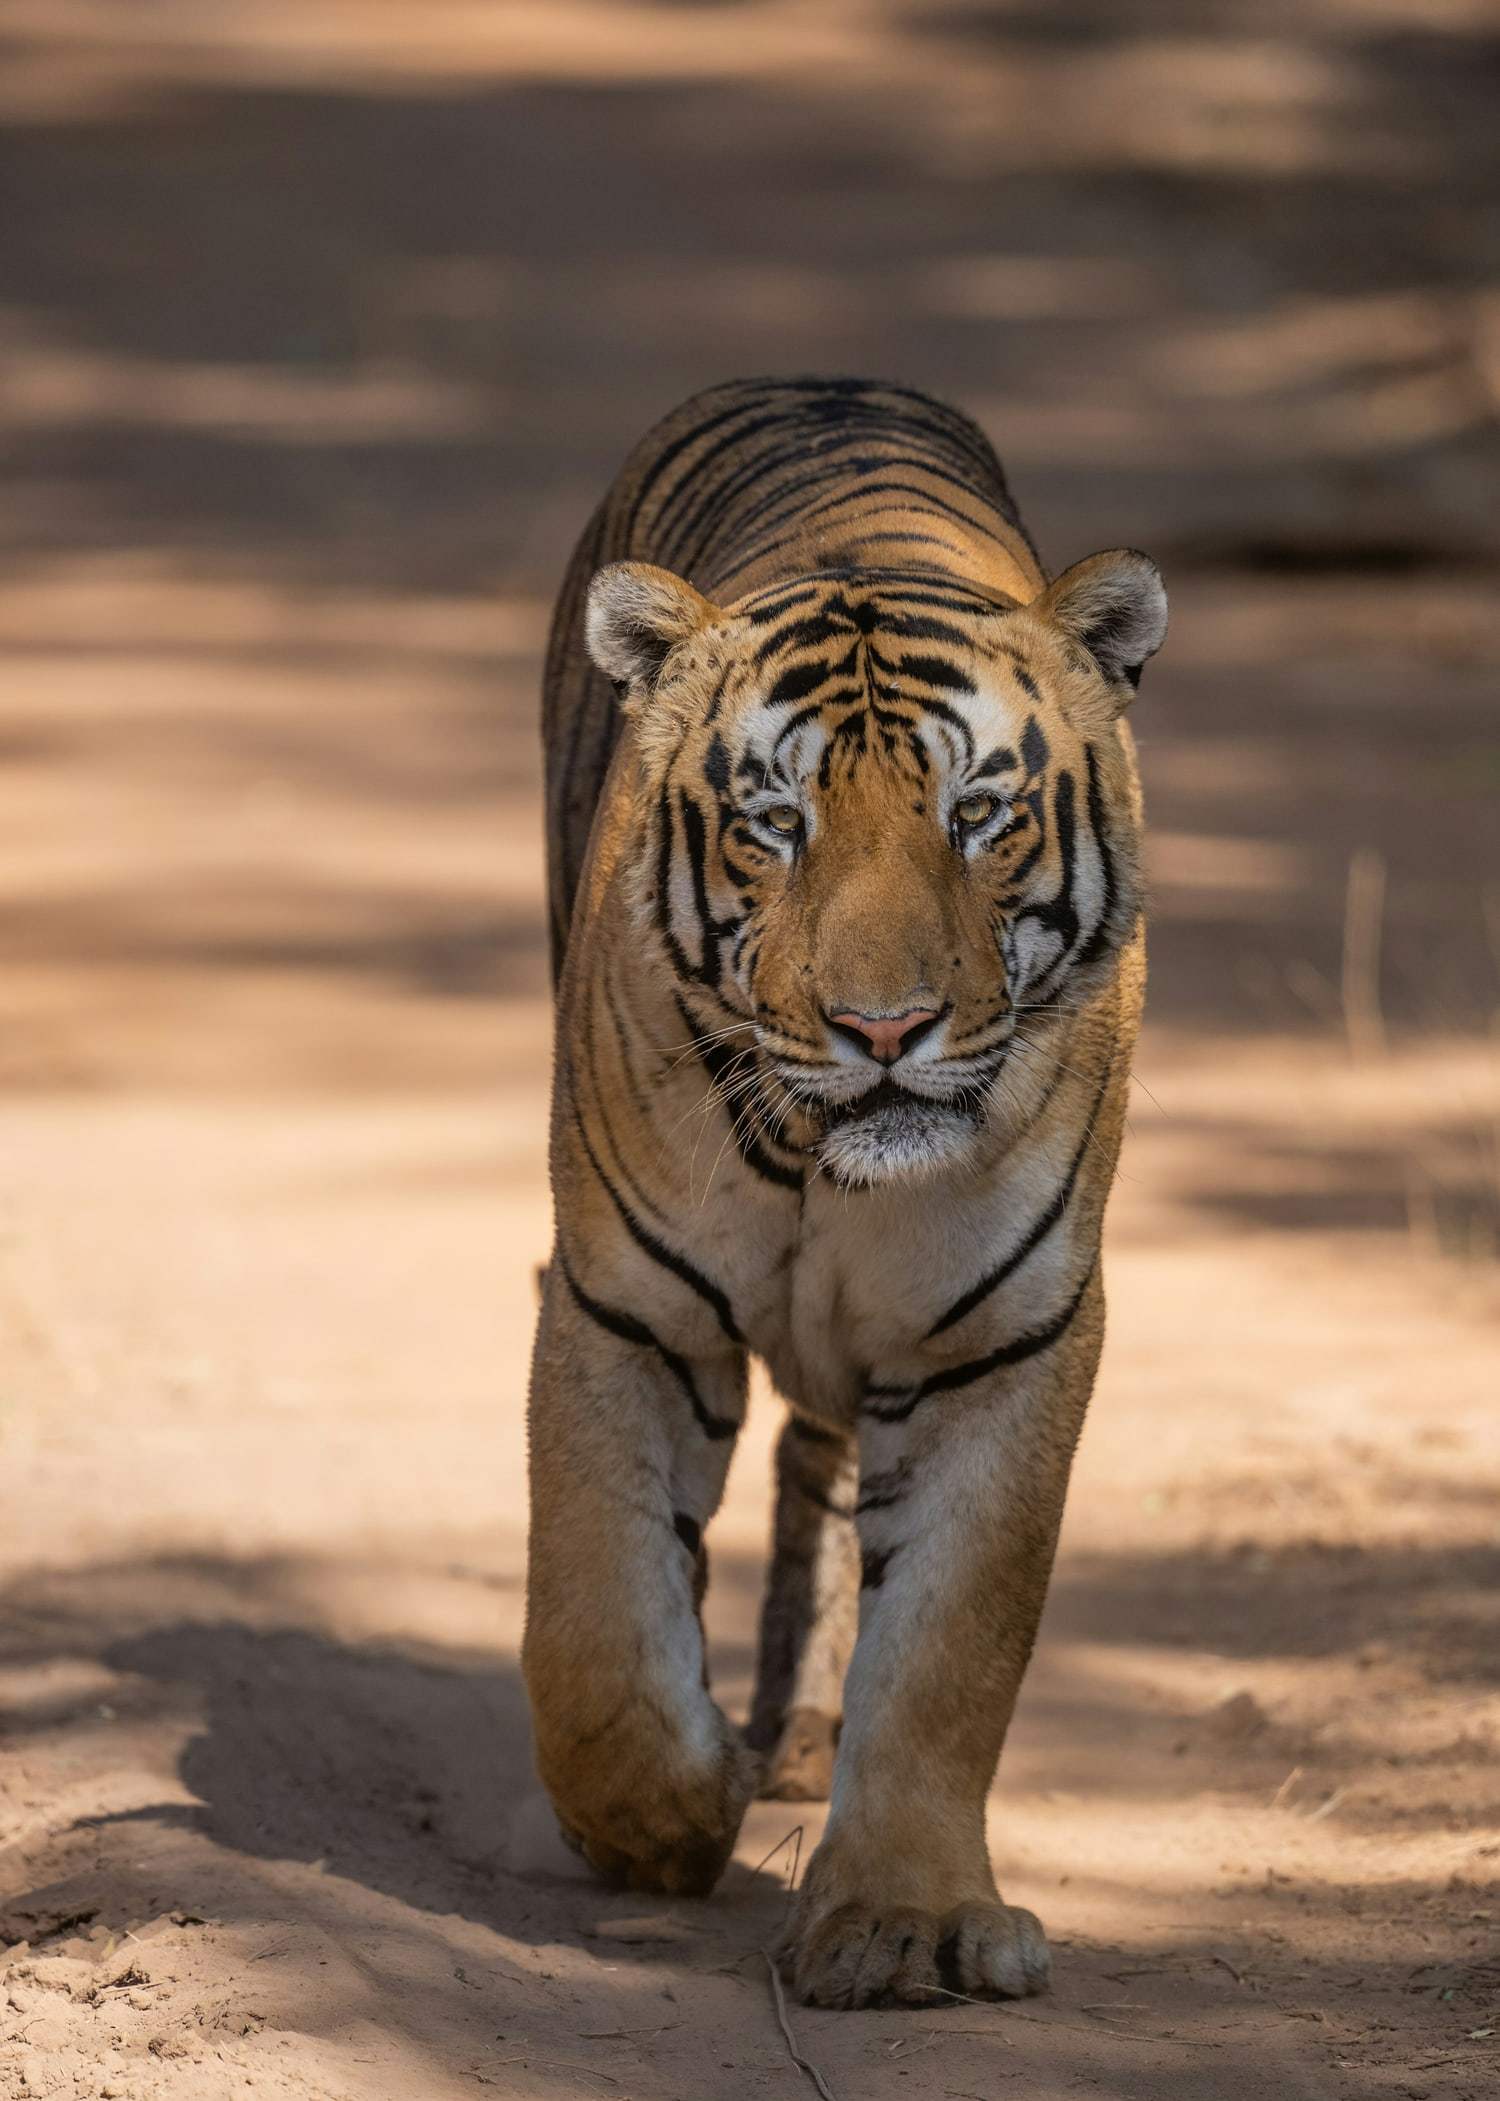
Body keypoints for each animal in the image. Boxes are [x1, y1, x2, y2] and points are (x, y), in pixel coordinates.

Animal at [522, 376, 1166, 2009]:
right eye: (776, 823)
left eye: (980, 817)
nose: (885, 1030)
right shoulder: (624, 1309)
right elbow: (593, 1622)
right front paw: (671, 1818)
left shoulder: (1004, 1338)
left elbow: (949, 1653)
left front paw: (904, 1921)